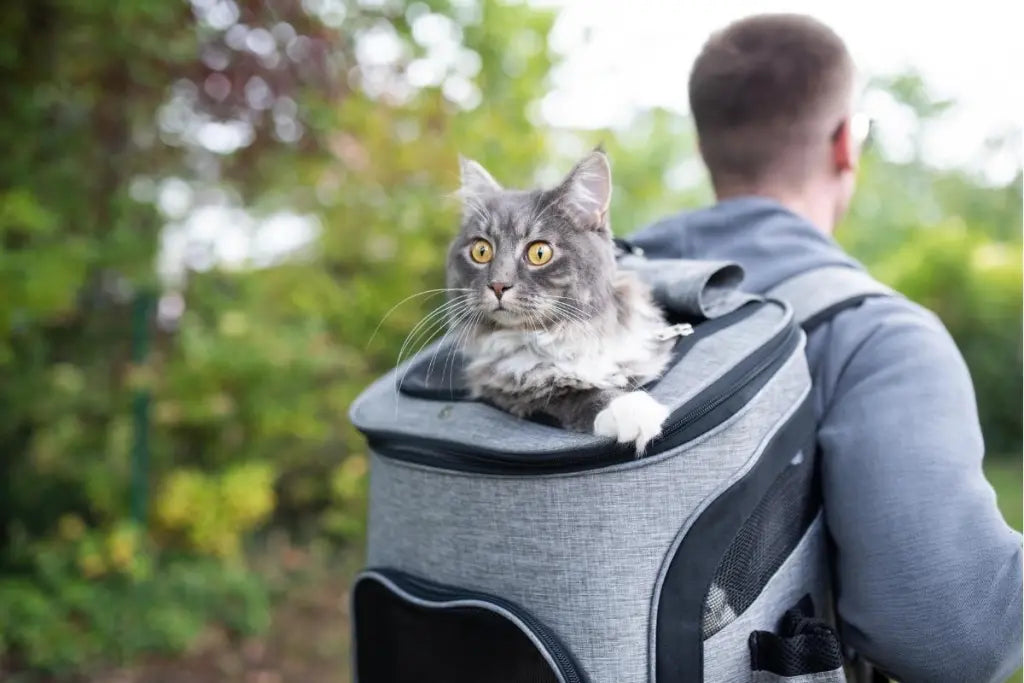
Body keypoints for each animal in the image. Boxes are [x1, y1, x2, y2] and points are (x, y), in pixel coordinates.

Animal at [446, 148, 679, 454]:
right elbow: (575, 394)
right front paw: (630, 409)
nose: (497, 284)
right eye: (481, 251)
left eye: (539, 253)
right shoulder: (507, 389)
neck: (562, 335)